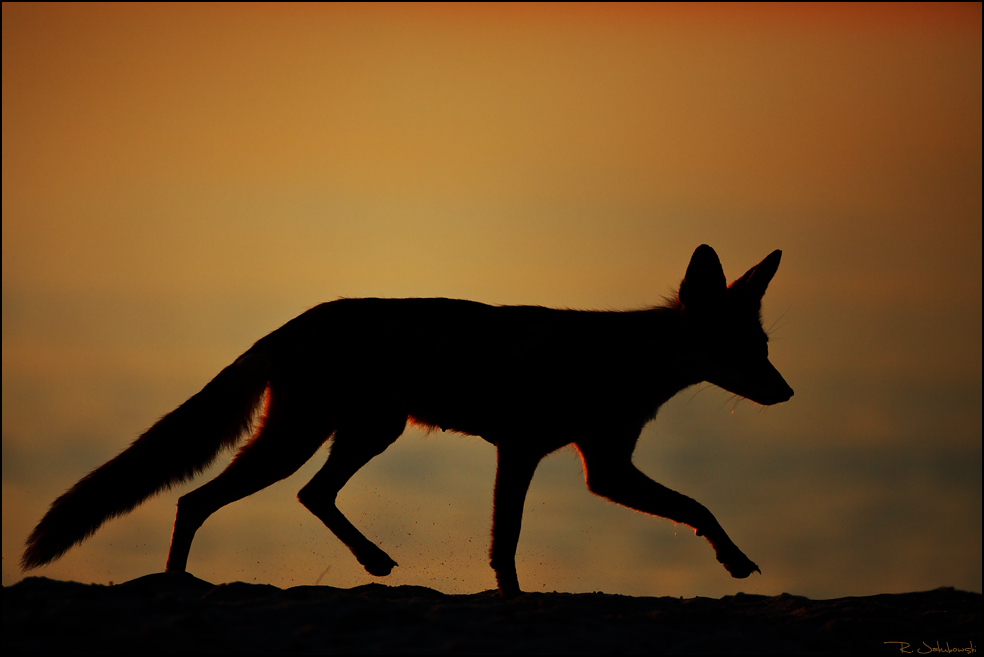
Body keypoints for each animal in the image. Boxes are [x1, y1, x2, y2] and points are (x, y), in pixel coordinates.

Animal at [21, 245, 792, 596]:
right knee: (202, 499)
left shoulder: (600, 466)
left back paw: (367, 560)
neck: (616, 363)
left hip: (350, 433)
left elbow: (696, 507)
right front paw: (511, 598)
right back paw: (181, 585)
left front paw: (733, 558)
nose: (787, 393)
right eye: (749, 352)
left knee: (294, 495)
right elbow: (508, 542)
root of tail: (288, 325)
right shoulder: (528, 450)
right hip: (325, 437)